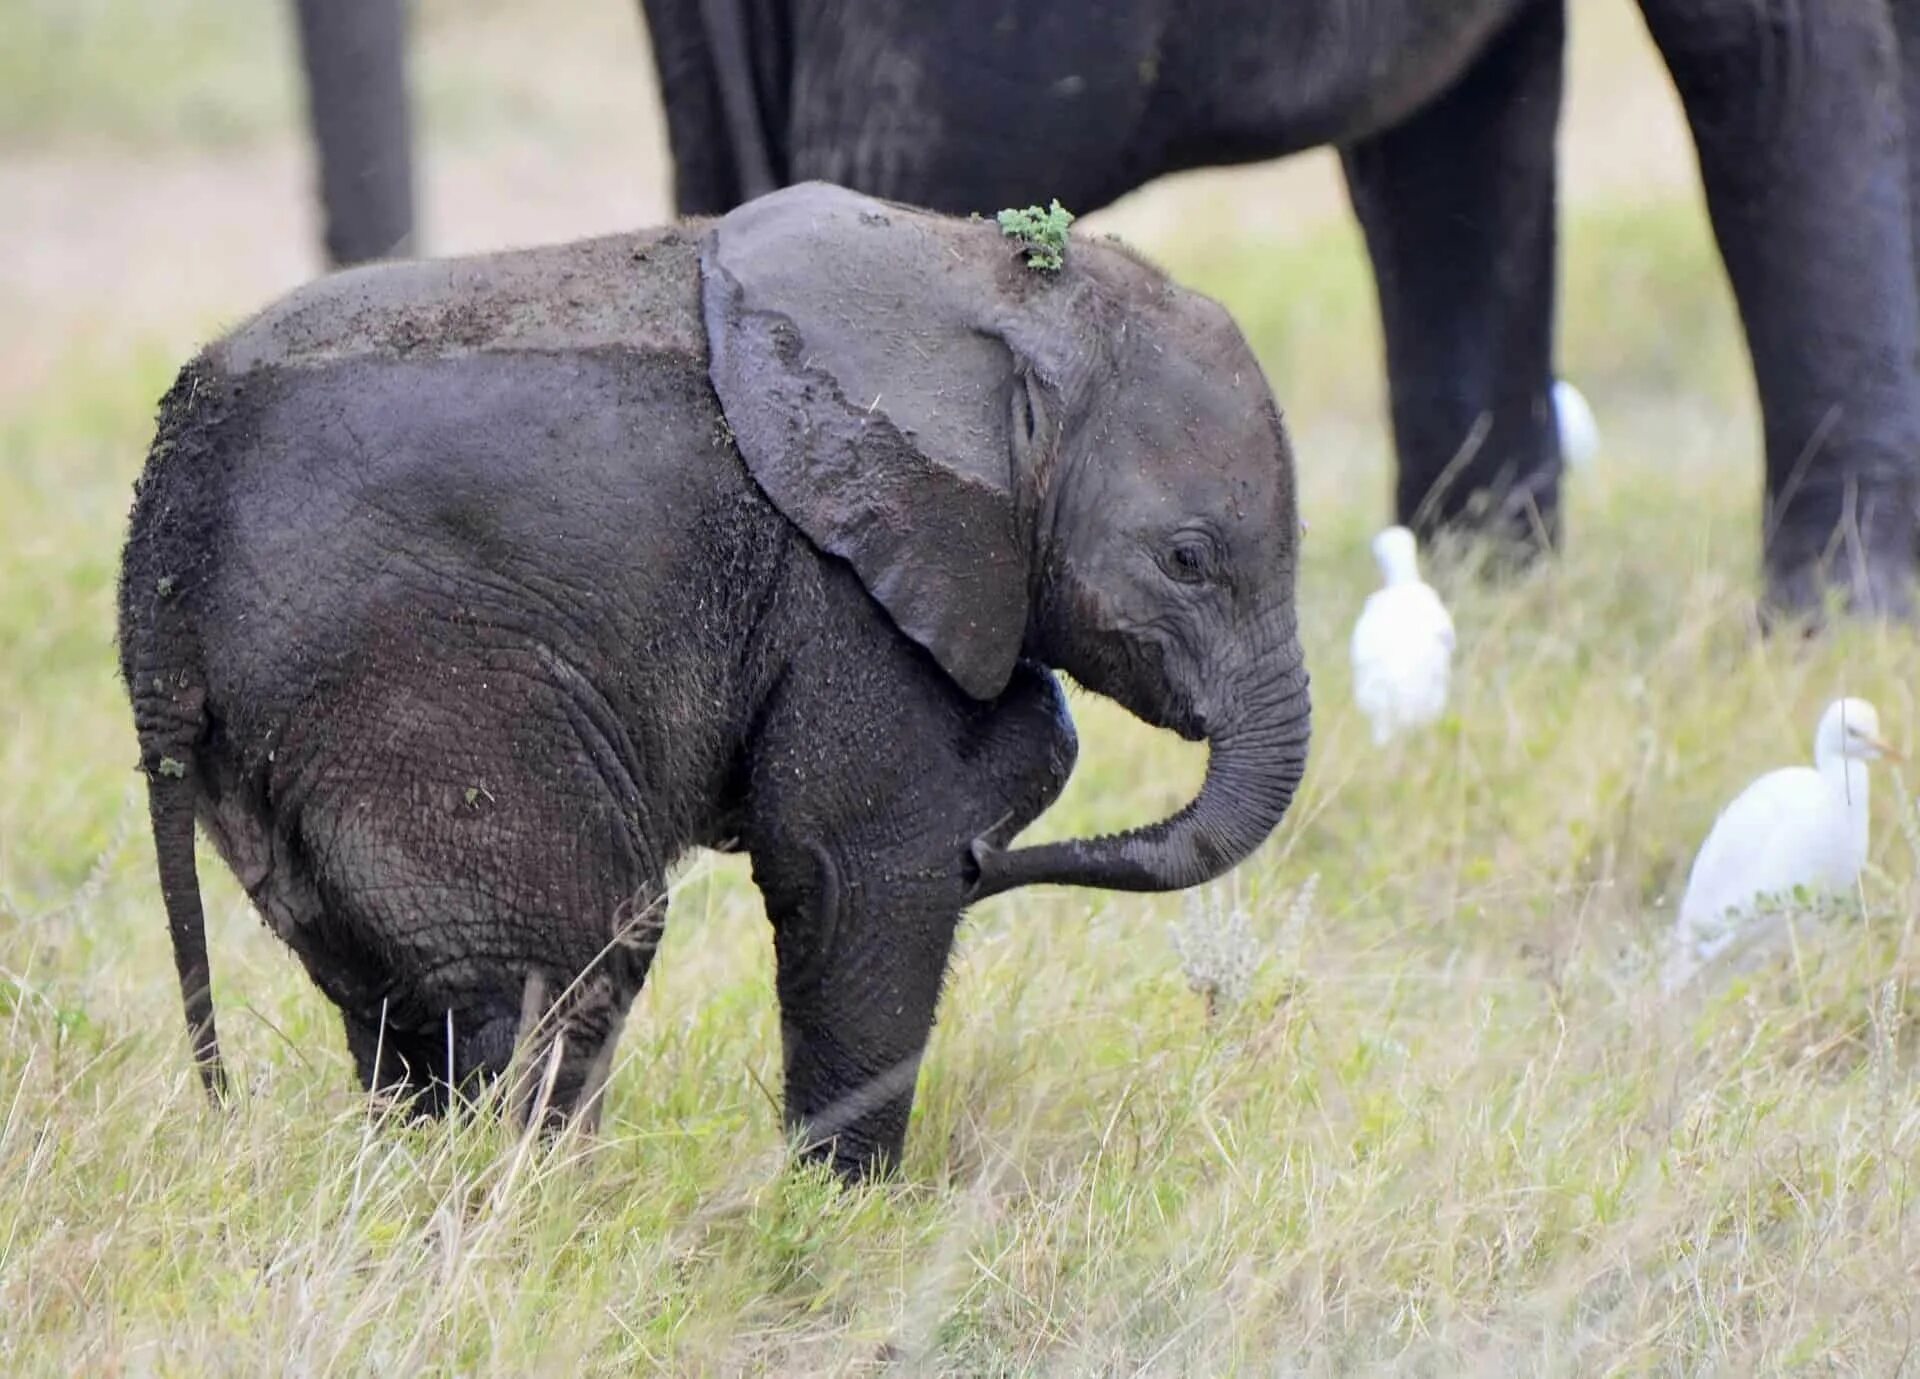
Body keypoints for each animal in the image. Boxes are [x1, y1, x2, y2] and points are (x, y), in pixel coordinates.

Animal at [120, 180, 1313, 1175]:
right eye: (1188, 559)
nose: (993, 866)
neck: (998, 289)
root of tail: (162, 533)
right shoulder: (840, 588)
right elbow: (858, 866)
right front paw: (845, 1213)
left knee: (396, 996)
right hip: (416, 678)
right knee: (571, 954)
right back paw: (540, 1207)